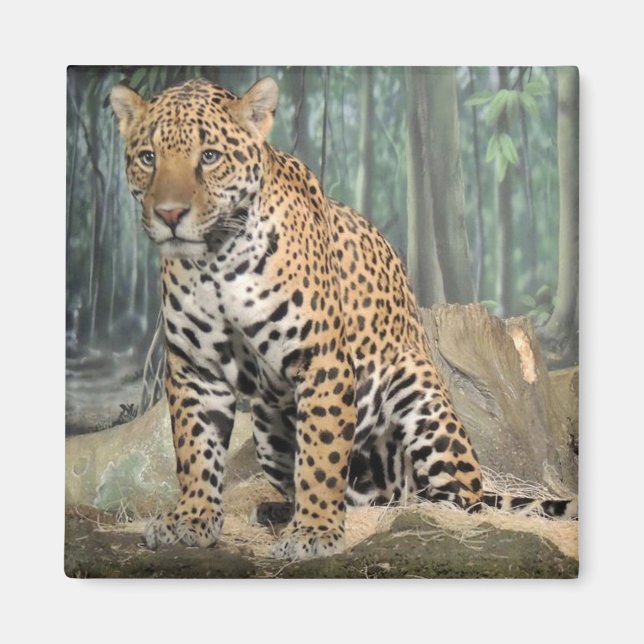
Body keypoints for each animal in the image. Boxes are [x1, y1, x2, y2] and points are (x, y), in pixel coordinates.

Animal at [110, 76, 577, 561]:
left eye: (209, 156)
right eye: (148, 158)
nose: (169, 214)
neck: (216, 260)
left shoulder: (321, 361)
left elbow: (320, 457)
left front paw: (314, 533)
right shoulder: (195, 369)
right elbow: (194, 450)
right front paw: (192, 520)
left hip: (421, 398)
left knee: (461, 498)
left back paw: (421, 511)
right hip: (267, 428)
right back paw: (281, 512)